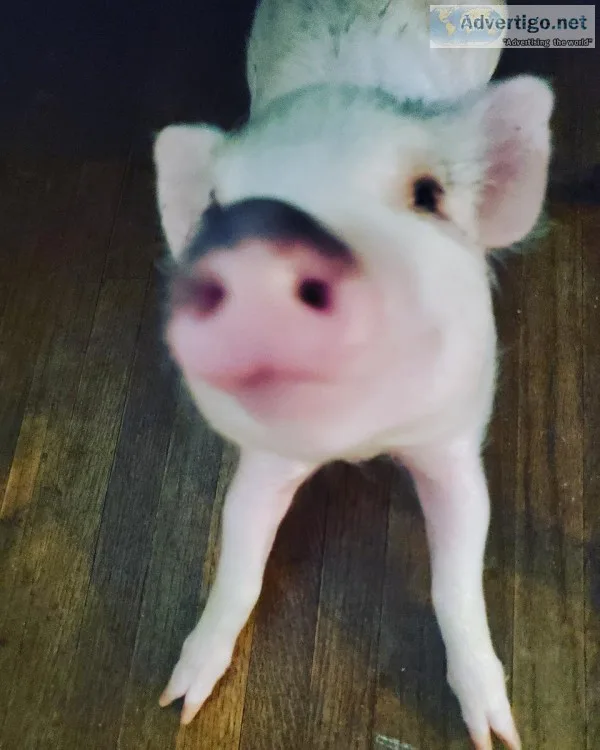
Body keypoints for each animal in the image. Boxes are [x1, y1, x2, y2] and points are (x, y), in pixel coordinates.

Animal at [152, 1, 553, 748]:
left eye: (428, 193)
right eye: (217, 210)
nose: (264, 252)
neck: (361, 447)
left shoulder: (455, 438)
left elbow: (458, 569)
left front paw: (497, 734)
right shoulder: (264, 460)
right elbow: (239, 551)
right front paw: (178, 704)